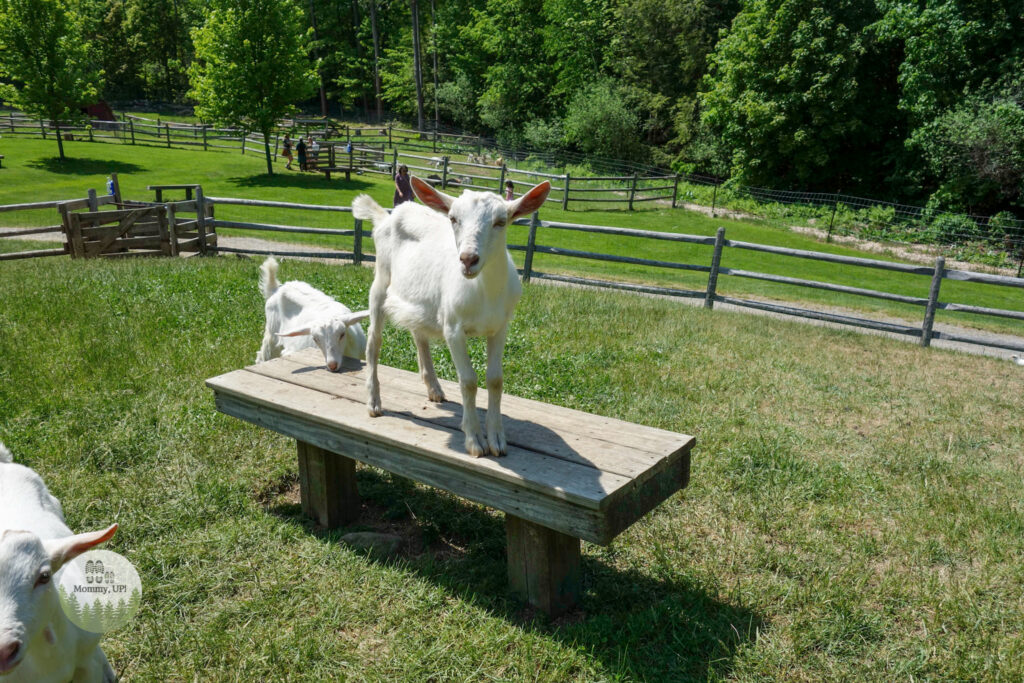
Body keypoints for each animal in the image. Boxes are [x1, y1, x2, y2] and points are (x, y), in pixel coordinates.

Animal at [354, 176, 552, 456]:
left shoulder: (501, 326)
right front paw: (475, 440)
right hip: (380, 284)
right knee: (374, 342)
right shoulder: (453, 328)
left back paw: (434, 388)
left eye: (501, 221)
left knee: (419, 335)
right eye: (453, 218)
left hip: (420, 300)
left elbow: (495, 380)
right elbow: (468, 381)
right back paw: (373, 401)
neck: (484, 293)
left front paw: (497, 439)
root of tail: (386, 217)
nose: (468, 259)